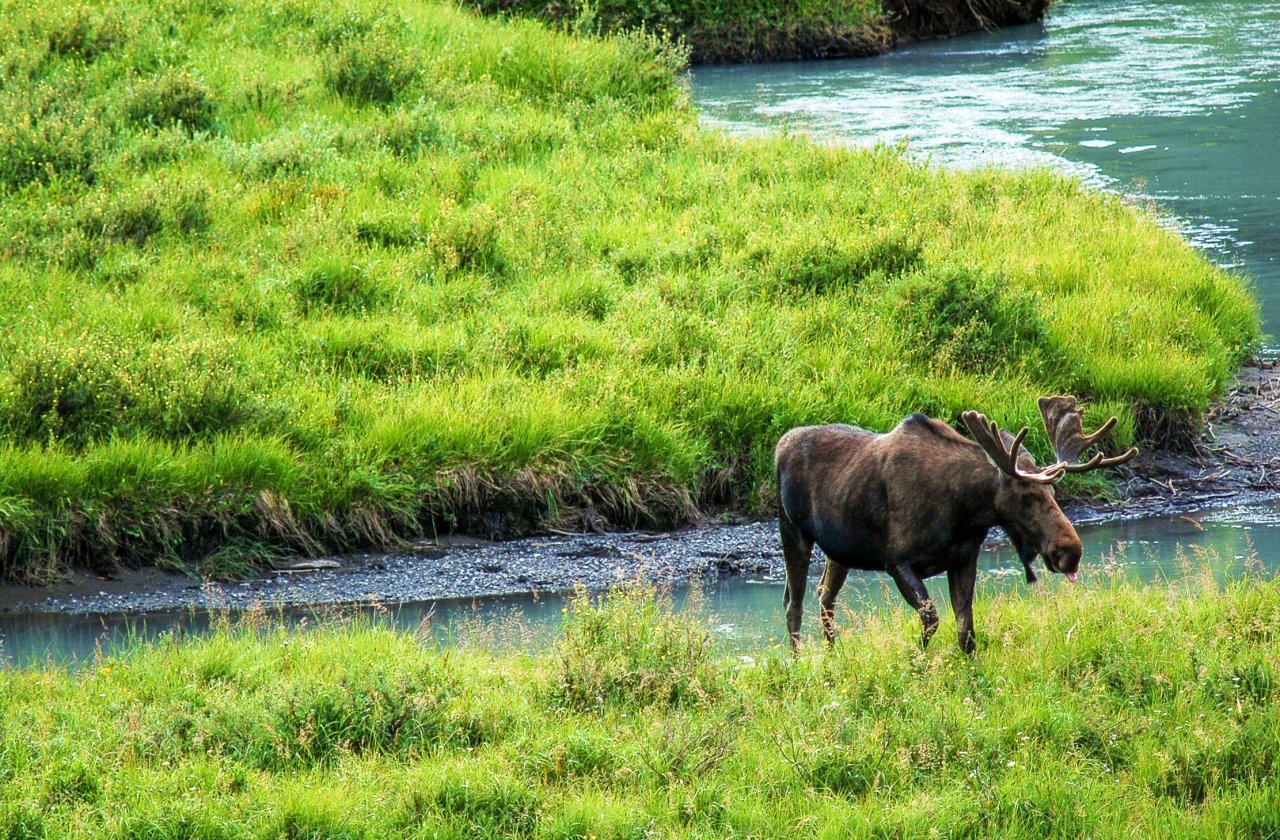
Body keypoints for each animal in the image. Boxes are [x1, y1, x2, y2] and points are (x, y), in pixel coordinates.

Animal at [773, 396, 1136, 653]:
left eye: (1054, 491)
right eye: (1026, 495)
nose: (1070, 552)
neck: (964, 511)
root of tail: (780, 444)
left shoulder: (963, 559)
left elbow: (967, 632)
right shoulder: (897, 561)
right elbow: (932, 618)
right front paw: (916, 658)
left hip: (840, 551)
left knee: (825, 596)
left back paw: (833, 655)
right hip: (793, 532)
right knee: (794, 603)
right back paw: (797, 661)